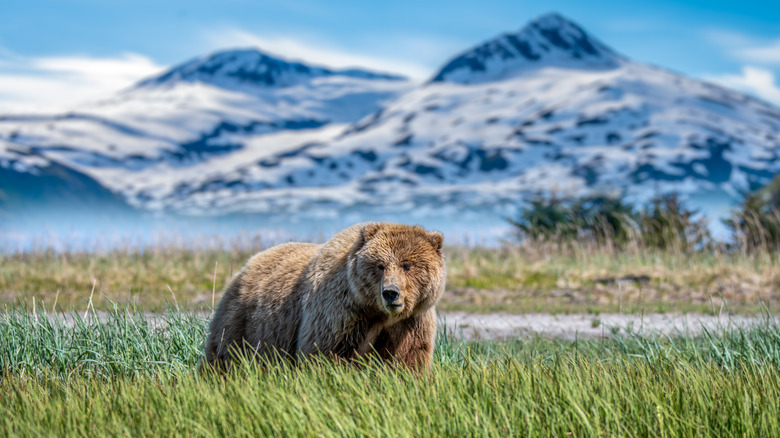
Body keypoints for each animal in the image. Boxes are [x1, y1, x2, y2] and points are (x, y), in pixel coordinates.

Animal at [201, 222, 444, 370]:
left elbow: (407, 358)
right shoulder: (339, 312)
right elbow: (325, 354)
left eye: (407, 265)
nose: (391, 293)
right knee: (223, 355)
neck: (377, 313)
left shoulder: (411, 322)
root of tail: (247, 264)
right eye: (380, 265)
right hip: (245, 323)